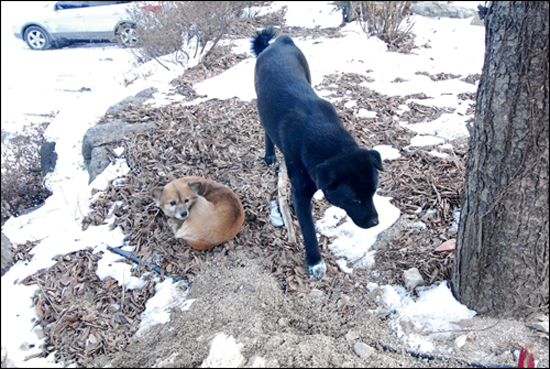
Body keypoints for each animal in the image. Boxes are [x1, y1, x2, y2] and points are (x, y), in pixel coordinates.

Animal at [253, 28, 384, 278]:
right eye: (355, 199)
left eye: (373, 192)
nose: (375, 223)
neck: (324, 136)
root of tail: (278, 42)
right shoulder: (300, 193)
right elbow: (308, 231)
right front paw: (315, 262)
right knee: (265, 128)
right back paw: (269, 155)